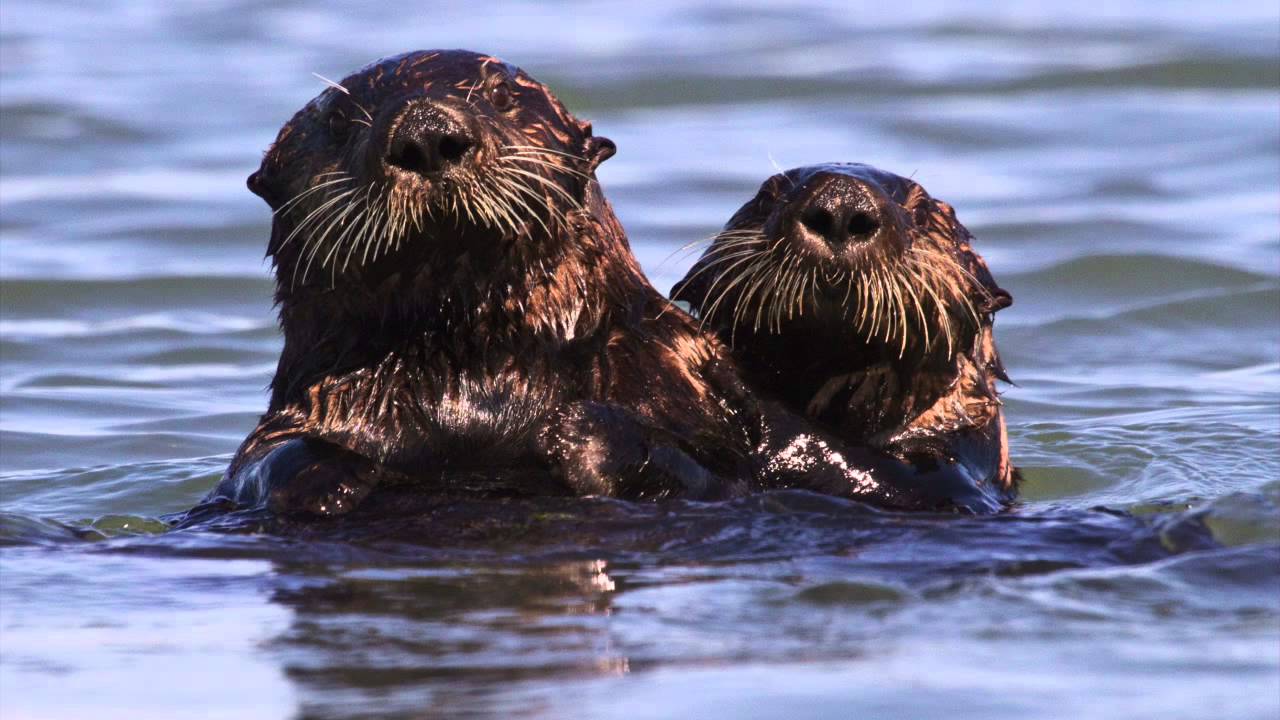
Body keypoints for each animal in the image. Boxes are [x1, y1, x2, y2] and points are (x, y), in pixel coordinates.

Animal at [203, 52, 962, 517]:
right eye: (338, 122)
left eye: (502, 98)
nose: (426, 131)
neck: (473, 388)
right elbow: (266, 458)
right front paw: (330, 476)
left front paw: (584, 438)